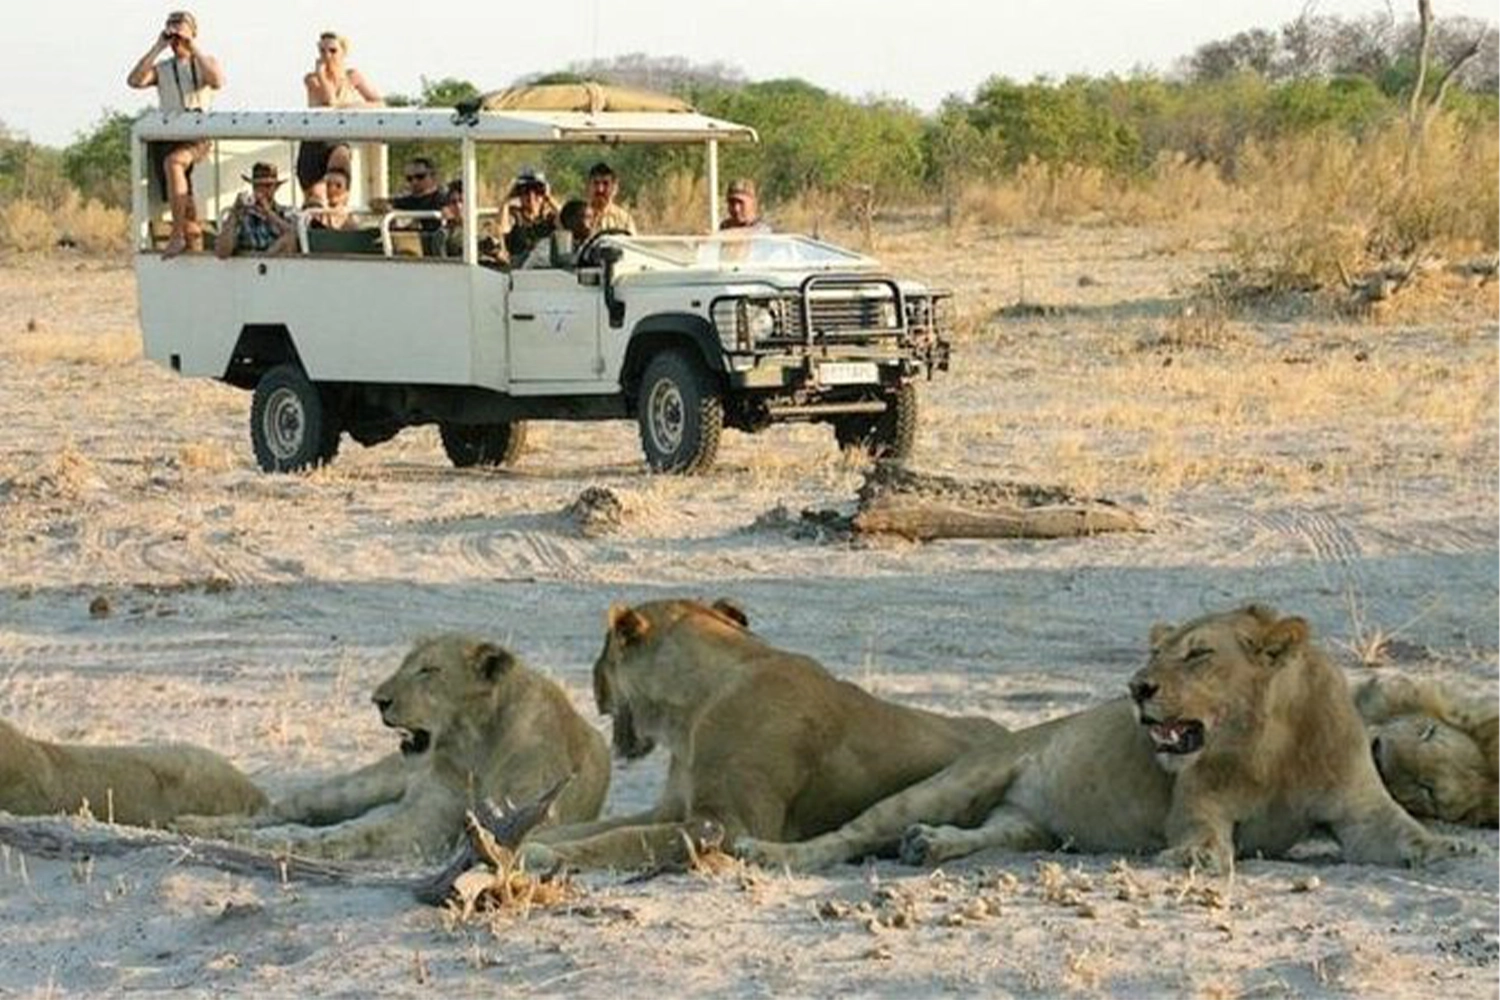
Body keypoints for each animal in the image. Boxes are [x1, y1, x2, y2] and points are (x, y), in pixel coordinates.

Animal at [178, 632, 612, 863]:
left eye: (428, 670)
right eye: (405, 665)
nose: (378, 700)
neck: (476, 748)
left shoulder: (524, 816)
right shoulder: (428, 816)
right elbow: (355, 835)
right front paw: (288, 844)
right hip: (353, 787)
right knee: (277, 811)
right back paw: (198, 825)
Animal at [525, 599, 1008, 869]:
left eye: (603, 653)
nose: (594, 683)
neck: (691, 711)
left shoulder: (727, 825)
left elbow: (621, 838)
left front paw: (542, 855)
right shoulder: (670, 808)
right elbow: (598, 826)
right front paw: (531, 840)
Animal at [738, 605, 1476, 869]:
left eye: (1197, 655)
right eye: (1156, 651)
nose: (1136, 687)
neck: (1268, 743)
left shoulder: (1359, 811)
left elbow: (1404, 835)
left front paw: (1443, 847)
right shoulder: (1197, 805)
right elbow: (1206, 839)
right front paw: (1196, 860)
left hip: (1027, 825)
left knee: (994, 833)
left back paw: (931, 847)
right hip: (960, 780)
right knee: (853, 833)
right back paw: (769, 853)